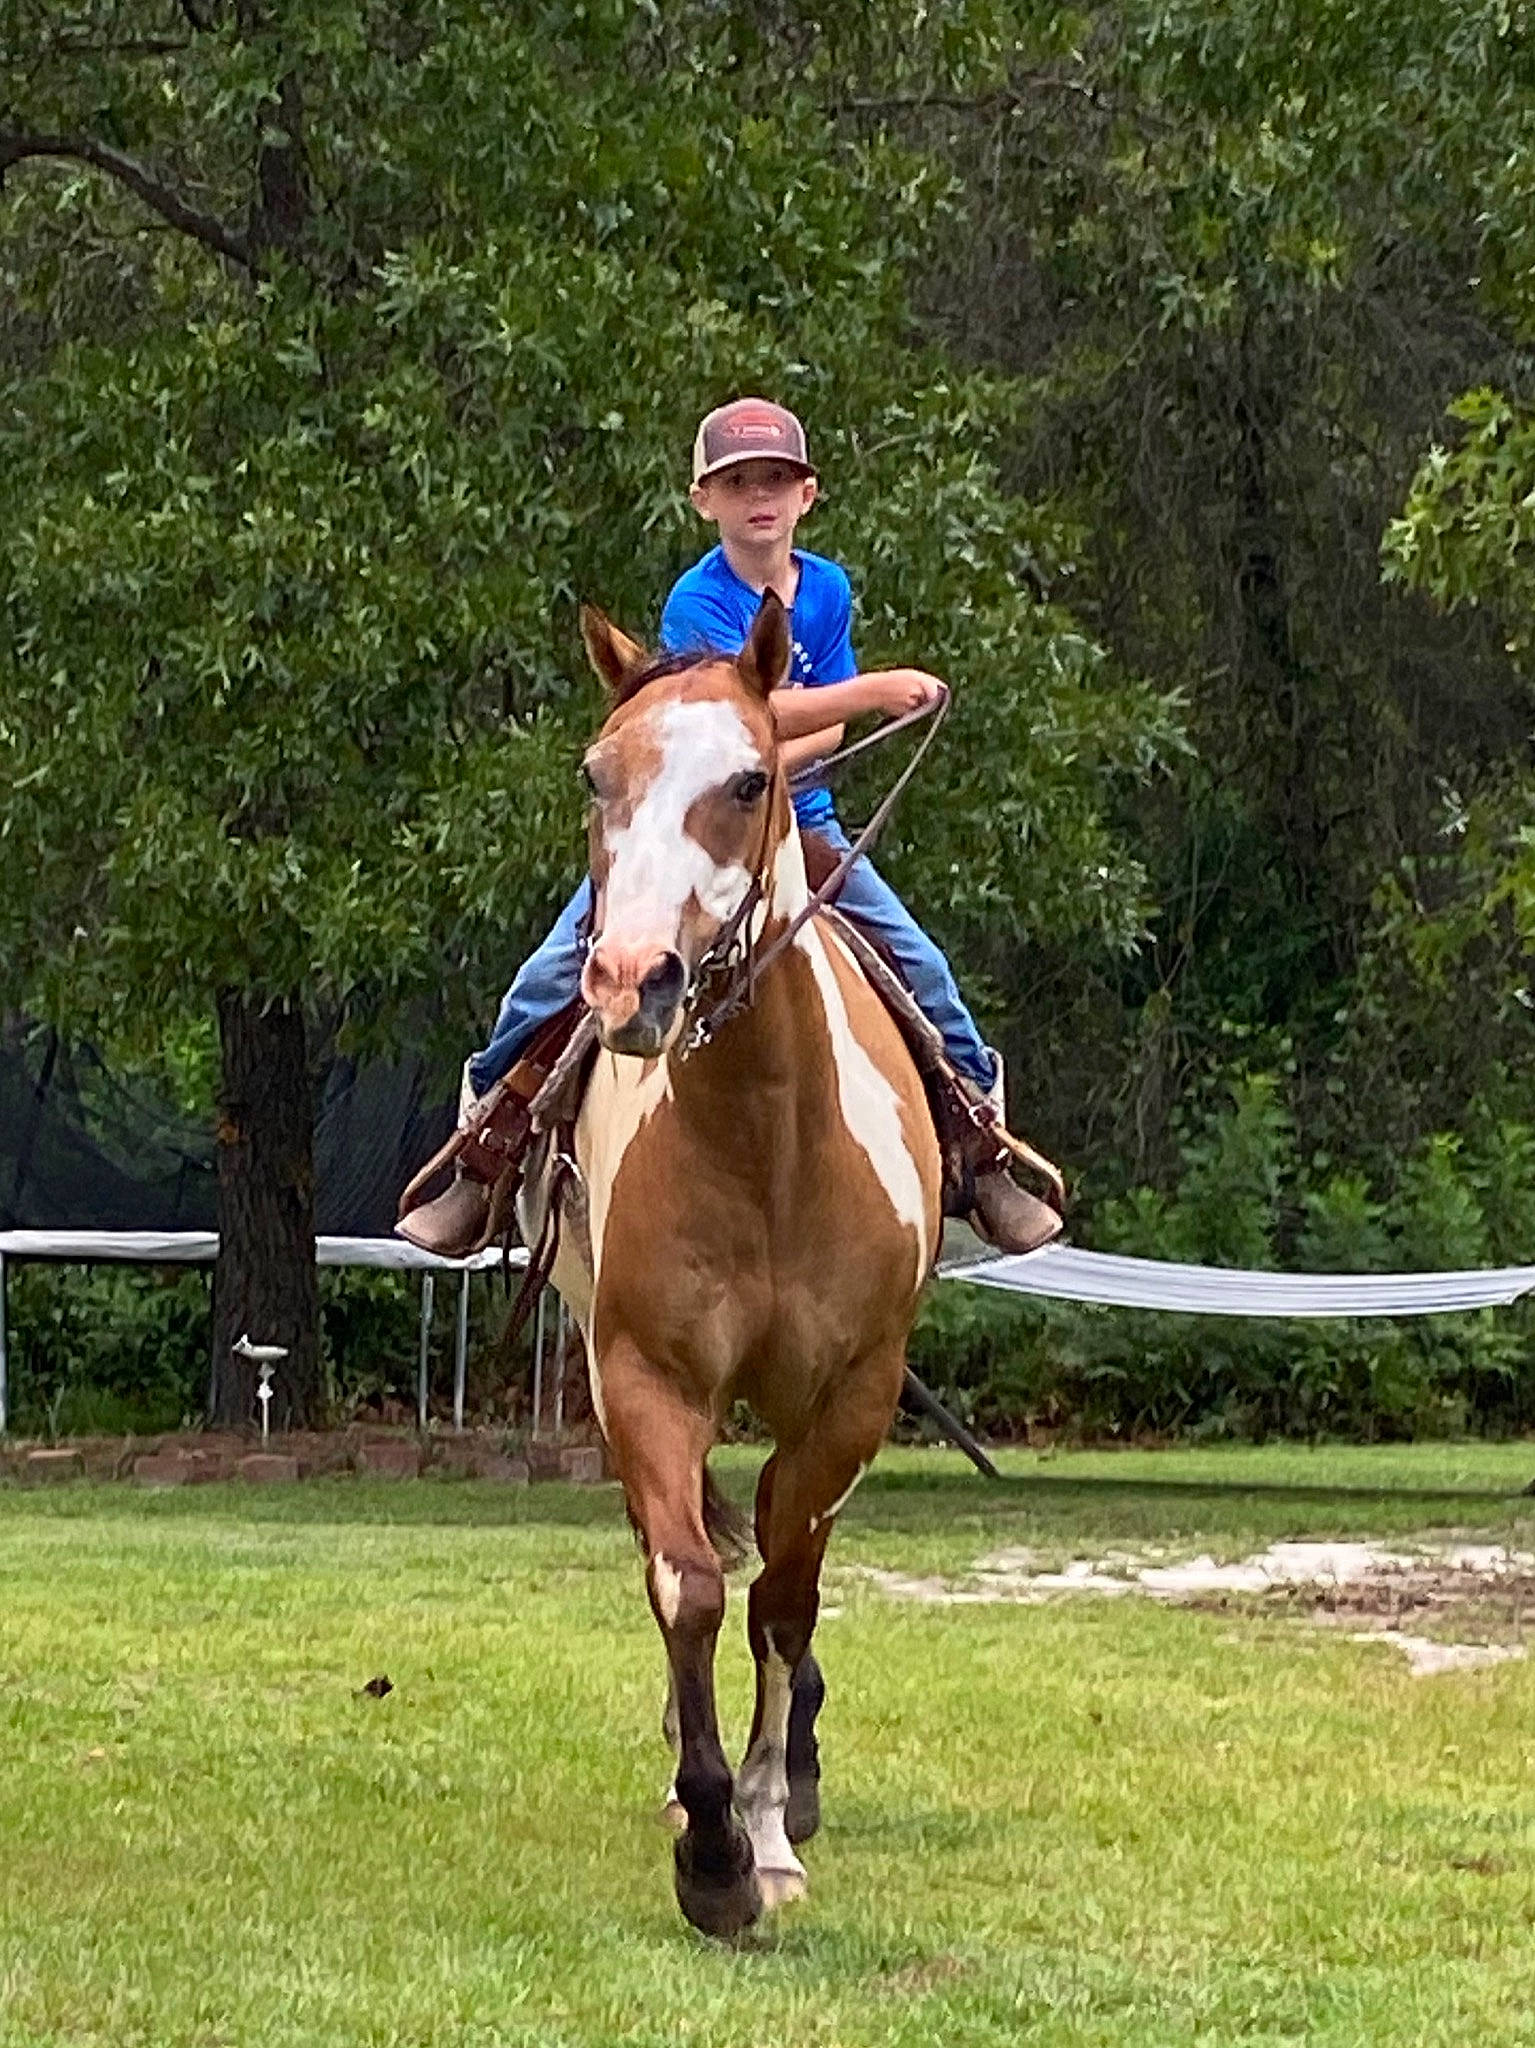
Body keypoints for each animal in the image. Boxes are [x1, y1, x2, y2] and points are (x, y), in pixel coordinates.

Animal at [537, 591, 942, 1937]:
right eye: (595, 774)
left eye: (748, 778)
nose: (629, 982)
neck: (768, 1137)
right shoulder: (644, 1376)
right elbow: (692, 1585)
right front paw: (709, 1845)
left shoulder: (851, 1395)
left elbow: (783, 1598)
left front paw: (764, 1829)